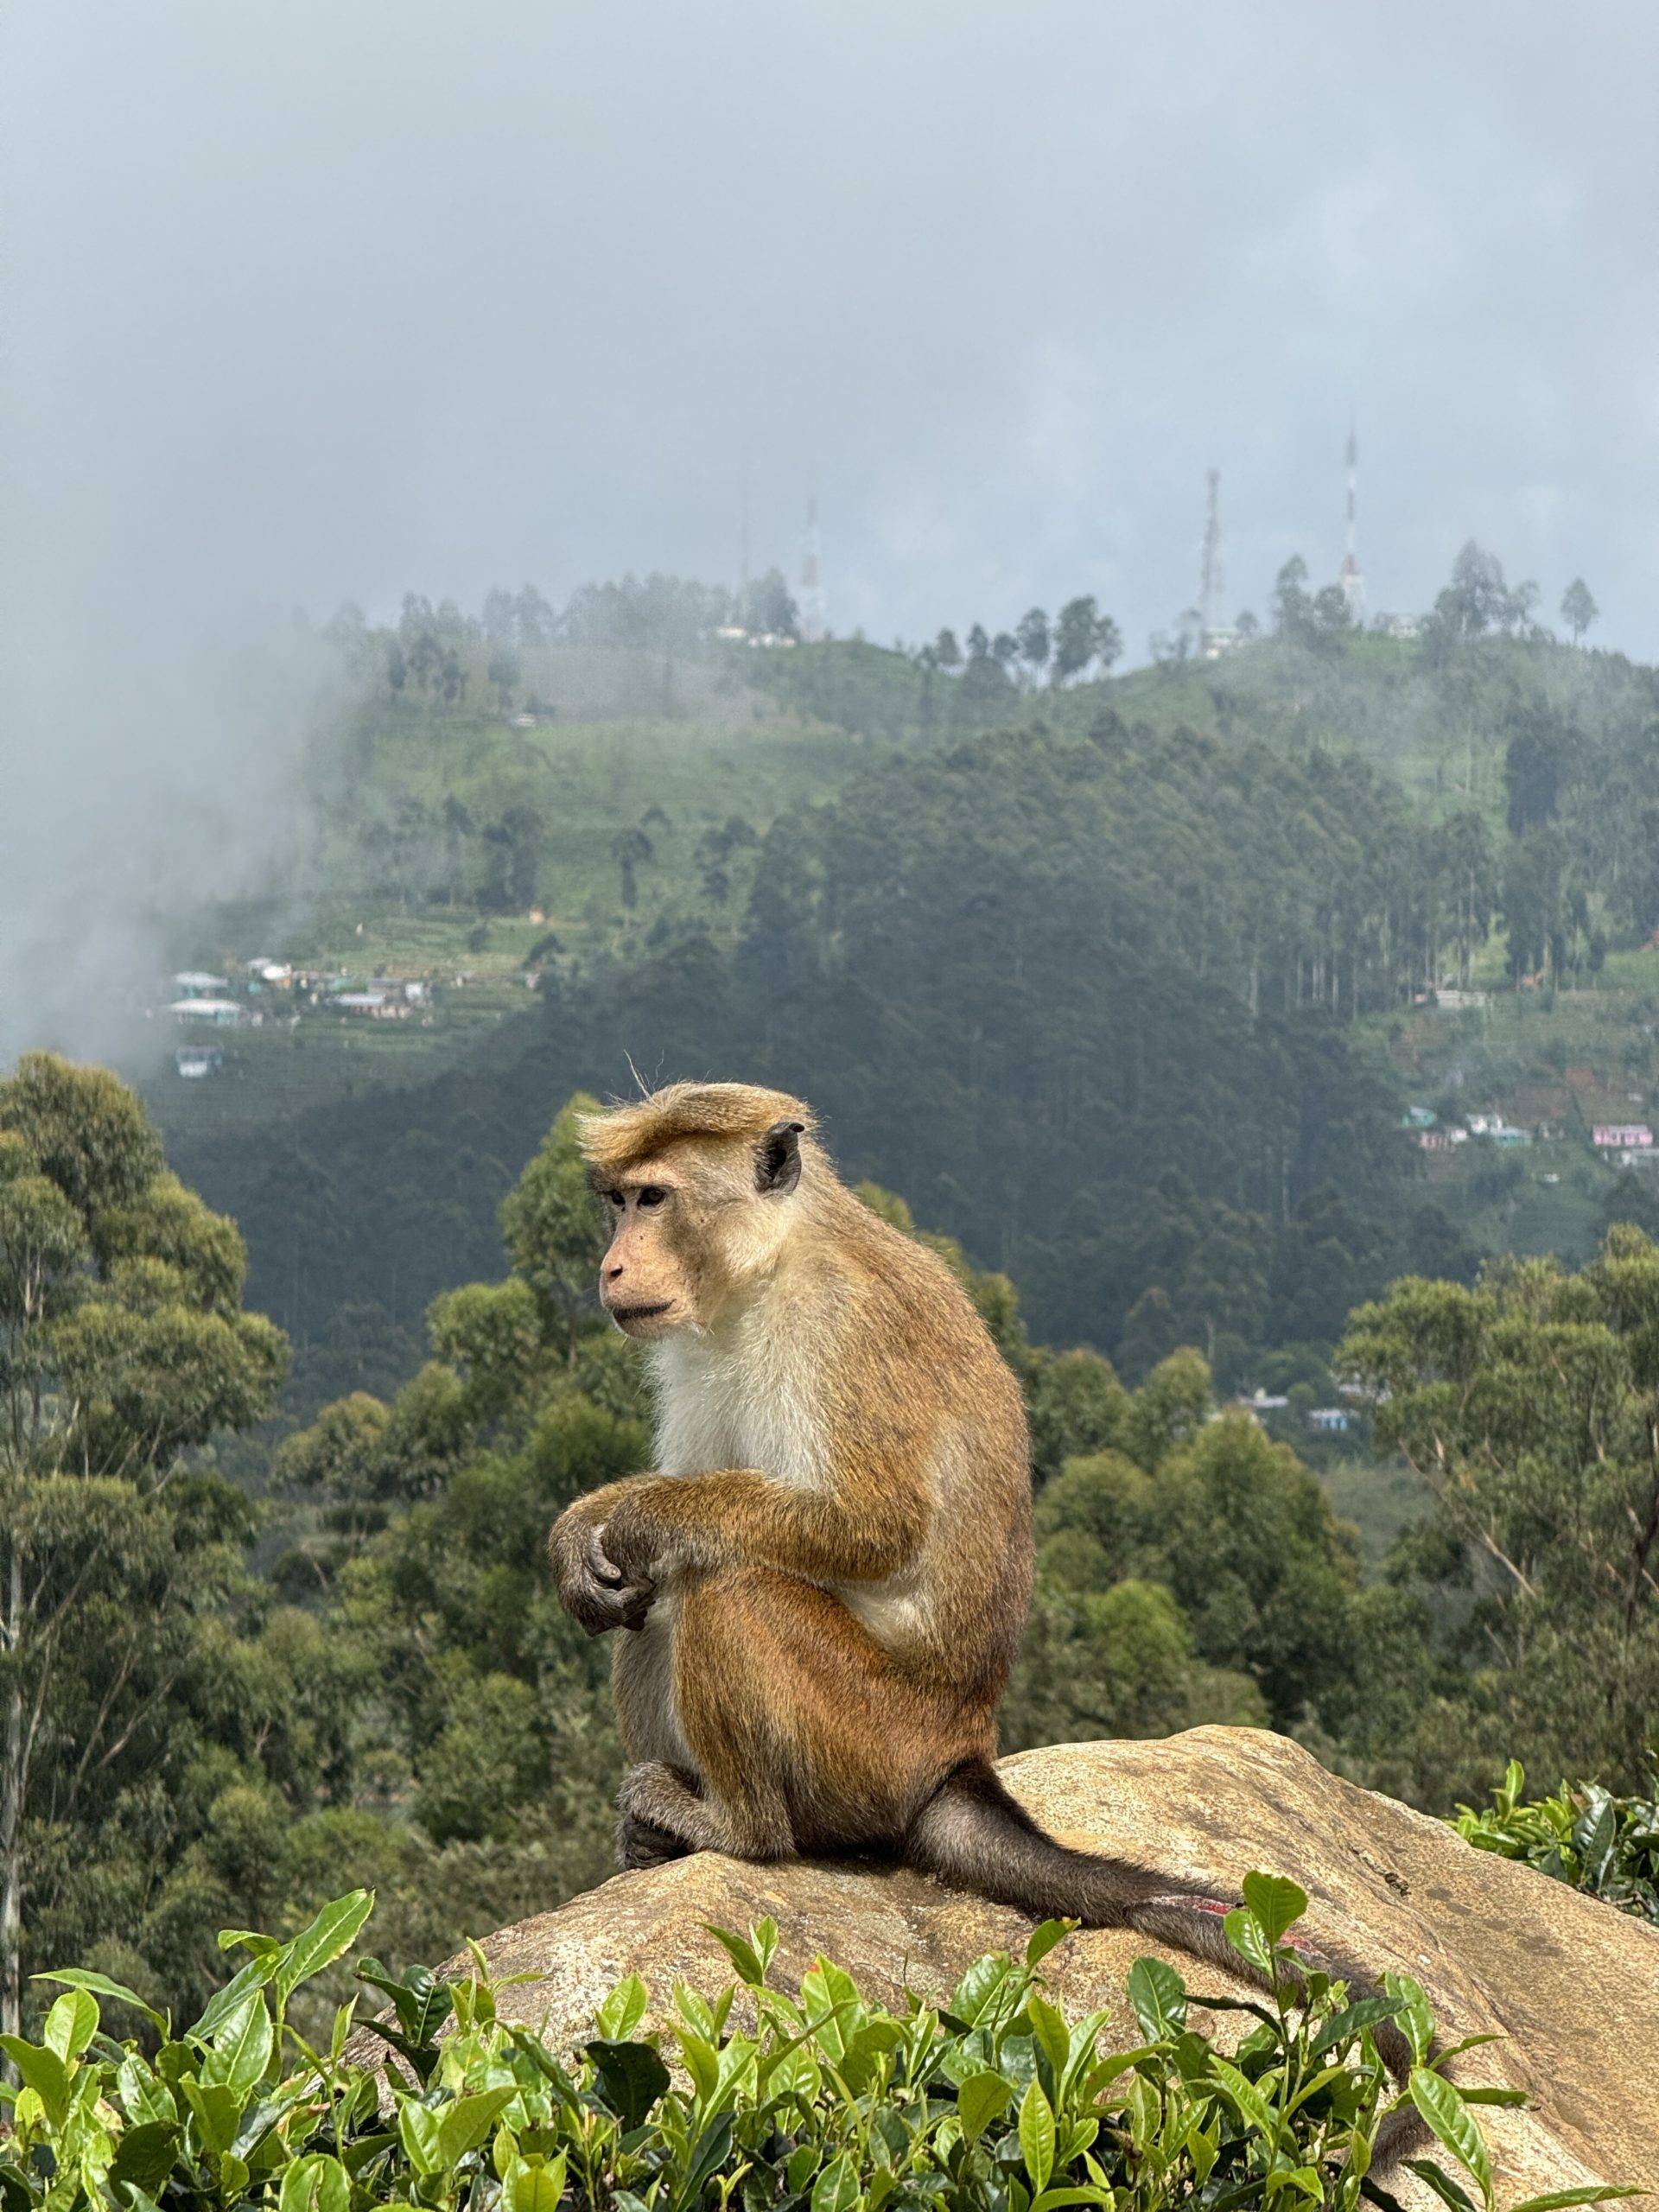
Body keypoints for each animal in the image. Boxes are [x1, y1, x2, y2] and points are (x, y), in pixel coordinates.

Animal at [553, 1088, 1424, 2106]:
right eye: (619, 1203)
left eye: (654, 1198)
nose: (612, 1264)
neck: (764, 1276)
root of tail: (959, 1749)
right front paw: (583, 1533)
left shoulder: (842, 1331)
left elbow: (868, 1525)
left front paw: (631, 1515)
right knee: (663, 1592)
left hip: (867, 1737)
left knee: (729, 1583)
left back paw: (737, 1828)